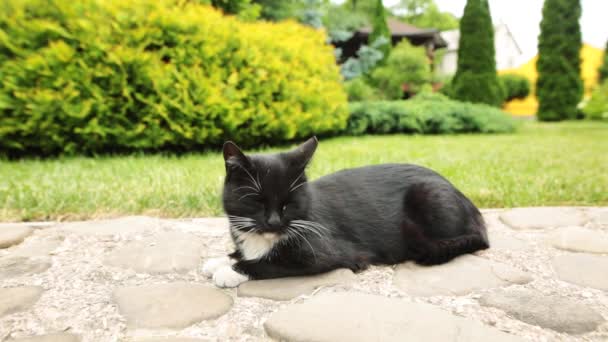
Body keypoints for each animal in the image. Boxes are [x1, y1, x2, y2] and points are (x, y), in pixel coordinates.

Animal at [203, 138, 490, 288]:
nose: (274, 222)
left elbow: (270, 262)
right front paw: (219, 260)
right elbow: (243, 252)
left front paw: (231, 270)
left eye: (288, 203)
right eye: (257, 201)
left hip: (428, 195)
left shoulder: (324, 252)